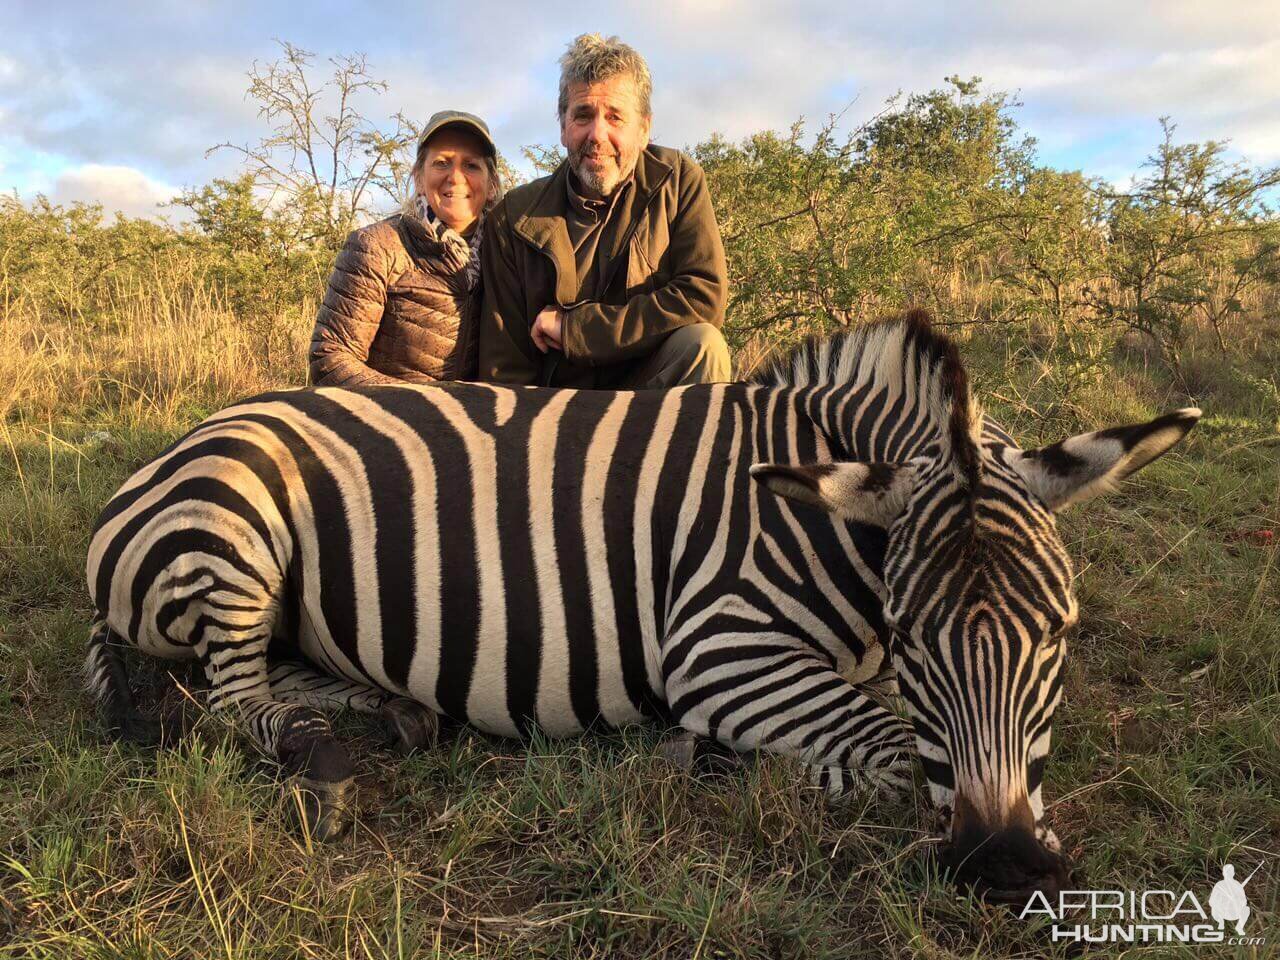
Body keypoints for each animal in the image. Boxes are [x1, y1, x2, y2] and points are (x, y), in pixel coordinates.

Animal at [85, 313, 1192, 901]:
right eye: (915, 639)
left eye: (1058, 636)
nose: (1002, 866)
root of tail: (174, 450)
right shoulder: (720, 646)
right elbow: (882, 744)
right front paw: (709, 759)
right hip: (236, 526)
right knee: (234, 701)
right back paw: (321, 748)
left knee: (282, 672)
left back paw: (389, 709)